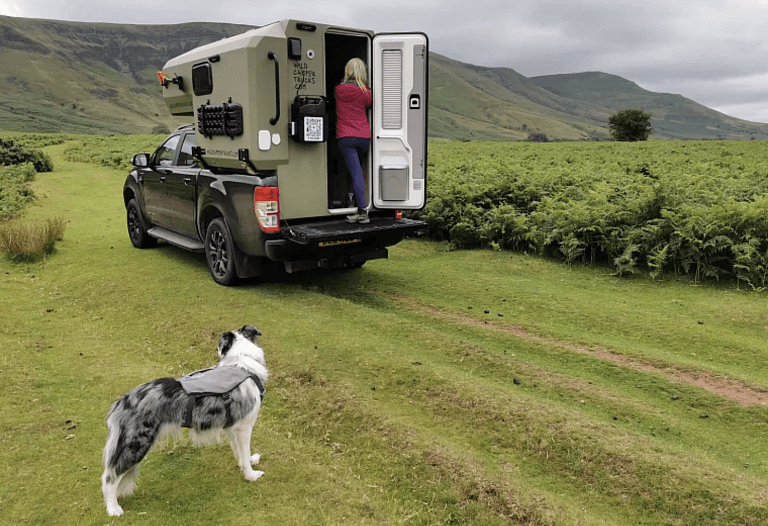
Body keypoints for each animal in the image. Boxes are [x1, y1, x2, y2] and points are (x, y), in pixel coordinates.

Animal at [101, 326, 270, 520]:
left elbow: (241, 454)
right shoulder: (244, 427)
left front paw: (247, 462)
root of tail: (123, 401)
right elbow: (245, 451)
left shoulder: (232, 428)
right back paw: (113, 508)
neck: (241, 363)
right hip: (137, 444)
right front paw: (251, 475)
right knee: (110, 477)